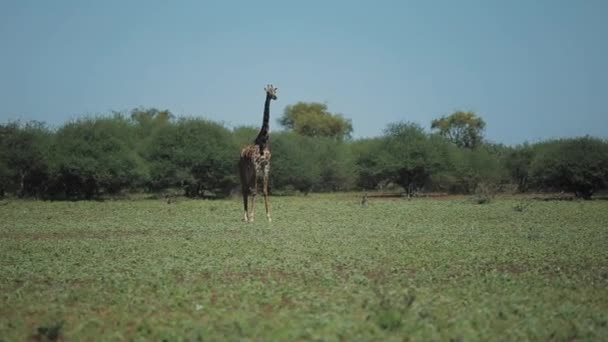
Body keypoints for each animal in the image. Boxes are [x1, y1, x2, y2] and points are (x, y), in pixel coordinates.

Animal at [238, 84, 278, 223]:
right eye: (268, 92)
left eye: (275, 91)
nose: (275, 97)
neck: (263, 142)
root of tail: (241, 154)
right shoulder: (256, 166)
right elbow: (255, 191)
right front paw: (252, 217)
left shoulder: (266, 166)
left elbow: (265, 191)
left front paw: (269, 217)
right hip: (243, 170)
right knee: (245, 189)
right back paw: (245, 216)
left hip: (250, 172)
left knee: (247, 188)